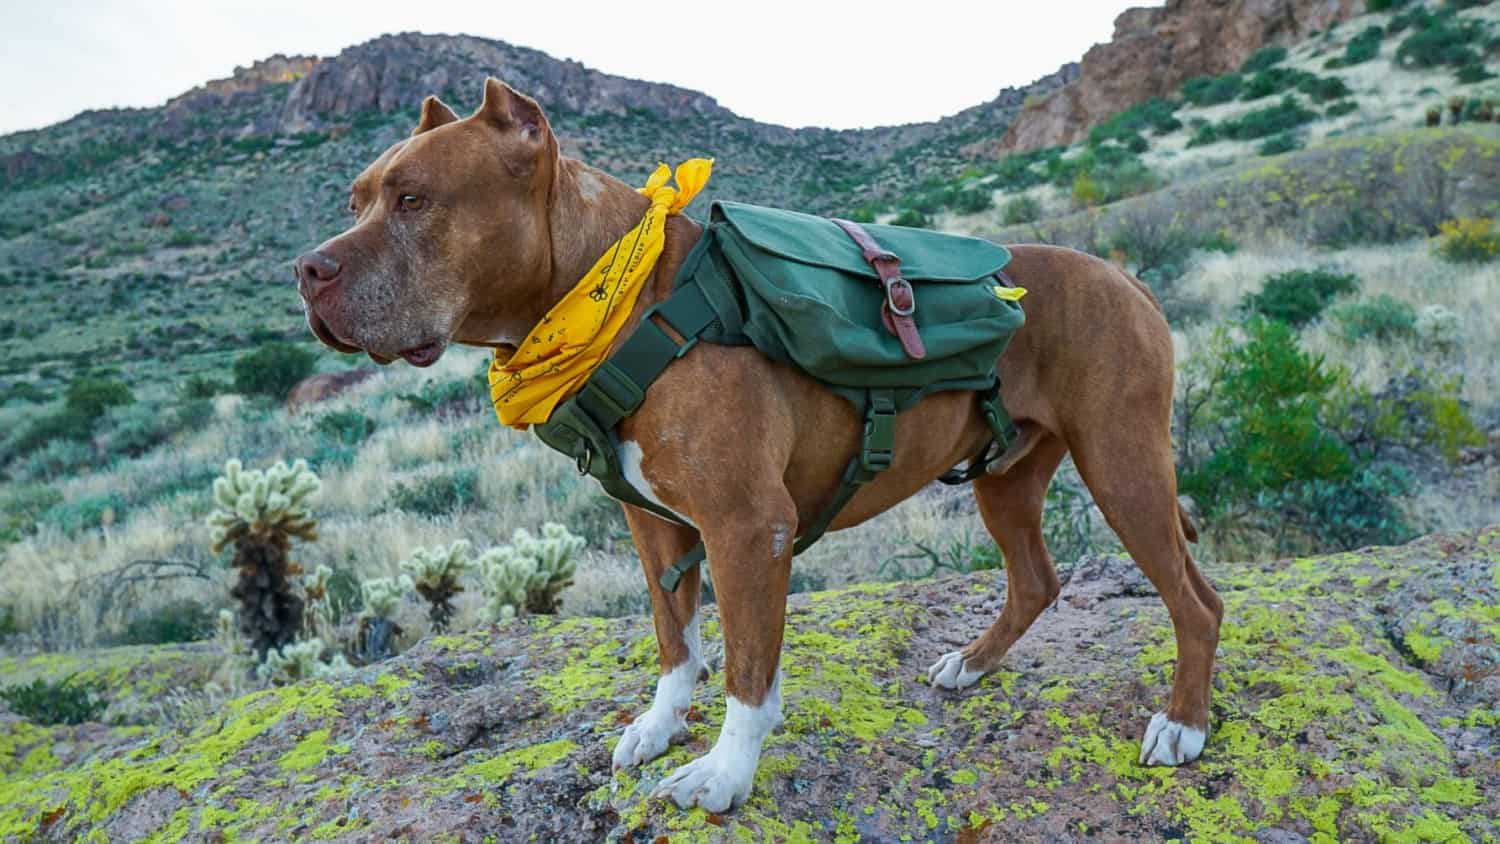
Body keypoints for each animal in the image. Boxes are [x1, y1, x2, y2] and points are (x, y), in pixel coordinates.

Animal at [292, 77, 1218, 809]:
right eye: (355, 201)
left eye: (415, 200)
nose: (307, 269)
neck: (615, 297)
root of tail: (1126, 274)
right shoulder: (654, 524)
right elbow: (675, 639)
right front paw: (660, 724)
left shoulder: (748, 527)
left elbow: (747, 669)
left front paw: (724, 773)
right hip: (1008, 475)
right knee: (1035, 578)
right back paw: (976, 664)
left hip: (1122, 463)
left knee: (1196, 601)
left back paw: (1181, 725)